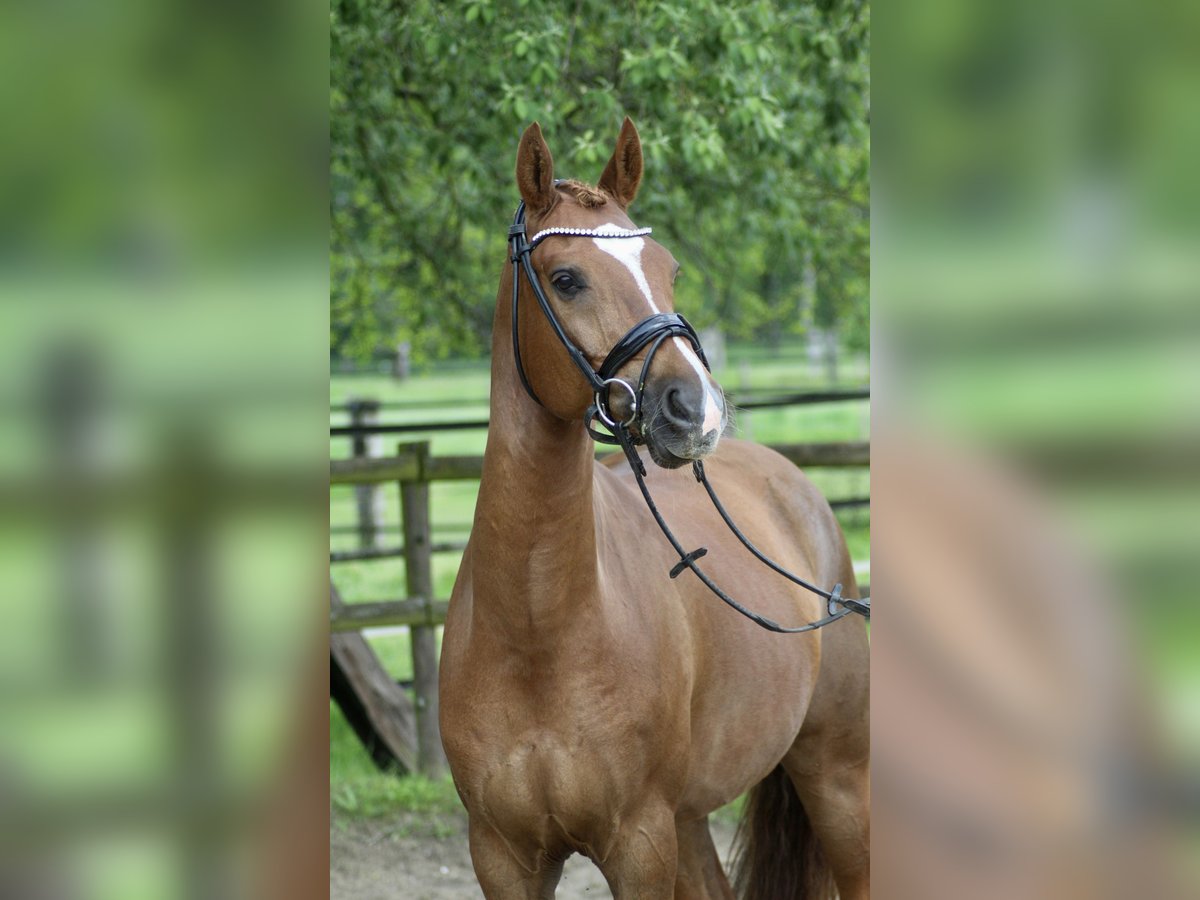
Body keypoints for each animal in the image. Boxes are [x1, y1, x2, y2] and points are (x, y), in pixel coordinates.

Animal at [441, 118, 873, 897]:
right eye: (567, 279)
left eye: (669, 270)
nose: (695, 408)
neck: (535, 632)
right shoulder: (502, 855)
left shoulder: (638, 843)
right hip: (692, 818)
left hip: (837, 777)